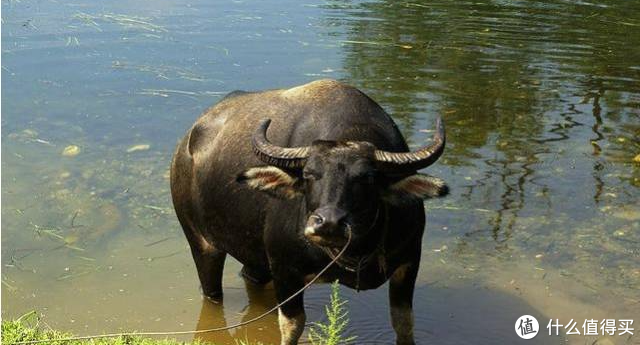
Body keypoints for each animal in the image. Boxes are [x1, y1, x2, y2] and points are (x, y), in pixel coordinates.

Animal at [171, 79, 450, 342]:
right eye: (308, 175)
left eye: (368, 178)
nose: (328, 223)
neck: (356, 253)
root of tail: (187, 144)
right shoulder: (285, 270)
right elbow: (292, 326)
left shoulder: (409, 262)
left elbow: (404, 323)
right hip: (201, 243)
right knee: (212, 290)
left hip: (254, 257)